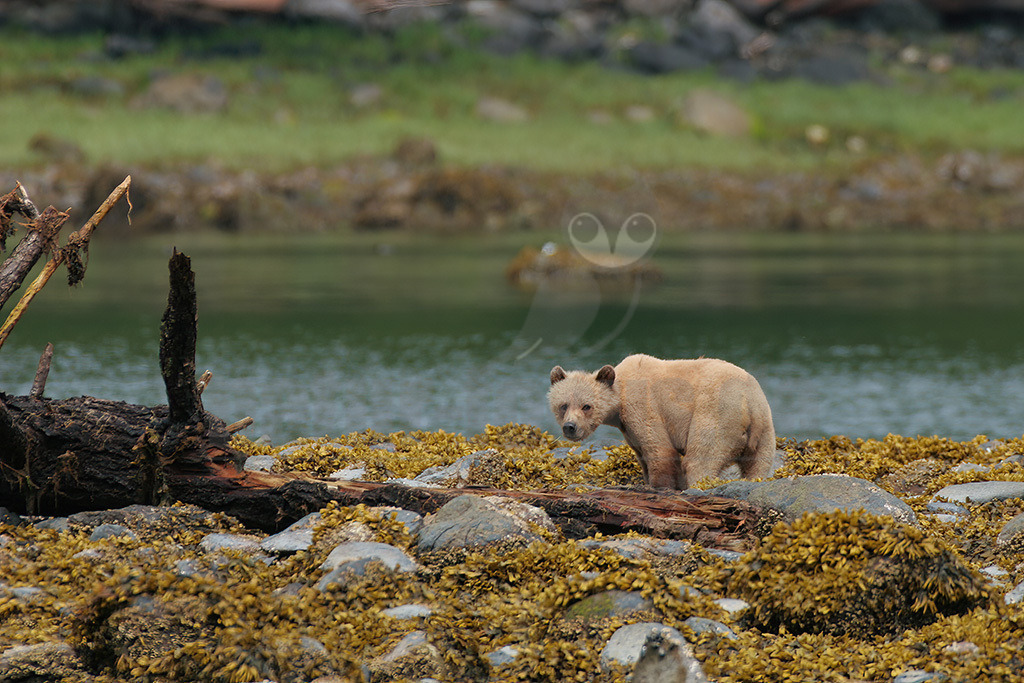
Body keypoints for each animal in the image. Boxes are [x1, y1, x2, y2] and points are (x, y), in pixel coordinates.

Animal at [548, 353, 775, 489]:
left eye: (586, 406)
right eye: (563, 405)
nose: (570, 427)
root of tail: (749, 404)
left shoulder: (643, 406)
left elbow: (659, 449)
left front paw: (659, 486)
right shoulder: (628, 429)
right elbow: (642, 454)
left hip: (716, 413)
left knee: (701, 459)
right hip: (765, 427)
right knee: (758, 465)